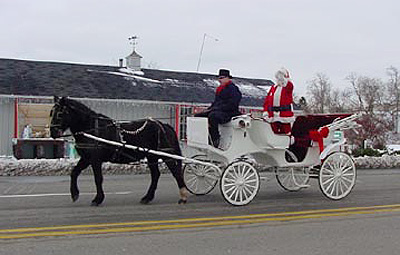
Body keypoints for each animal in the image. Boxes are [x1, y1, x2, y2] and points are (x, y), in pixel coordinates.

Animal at [50, 96, 188, 206]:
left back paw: (183, 196)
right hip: (151, 156)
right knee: (155, 175)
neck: (92, 130)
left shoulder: (95, 160)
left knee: (175, 172)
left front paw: (97, 199)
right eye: (51, 112)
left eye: (60, 114)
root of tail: (164, 125)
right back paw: (147, 197)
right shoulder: (86, 158)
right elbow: (74, 173)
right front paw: (75, 194)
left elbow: (98, 178)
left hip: (164, 154)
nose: (53, 133)